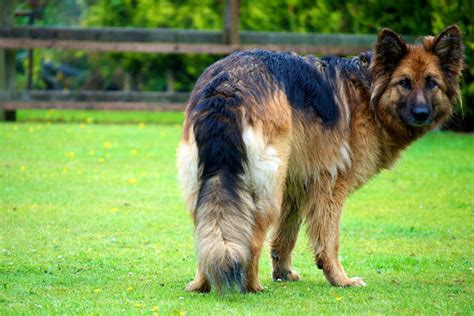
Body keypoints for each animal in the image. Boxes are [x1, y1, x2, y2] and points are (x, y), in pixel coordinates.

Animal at [177, 25, 462, 292]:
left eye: (431, 83)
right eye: (404, 82)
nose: (421, 113)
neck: (368, 93)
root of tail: (227, 86)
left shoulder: (297, 187)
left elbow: (286, 236)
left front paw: (283, 273)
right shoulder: (331, 187)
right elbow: (329, 241)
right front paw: (340, 279)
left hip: (208, 186)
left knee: (208, 232)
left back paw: (202, 284)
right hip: (267, 190)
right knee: (252, 236)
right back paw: (252, 287)